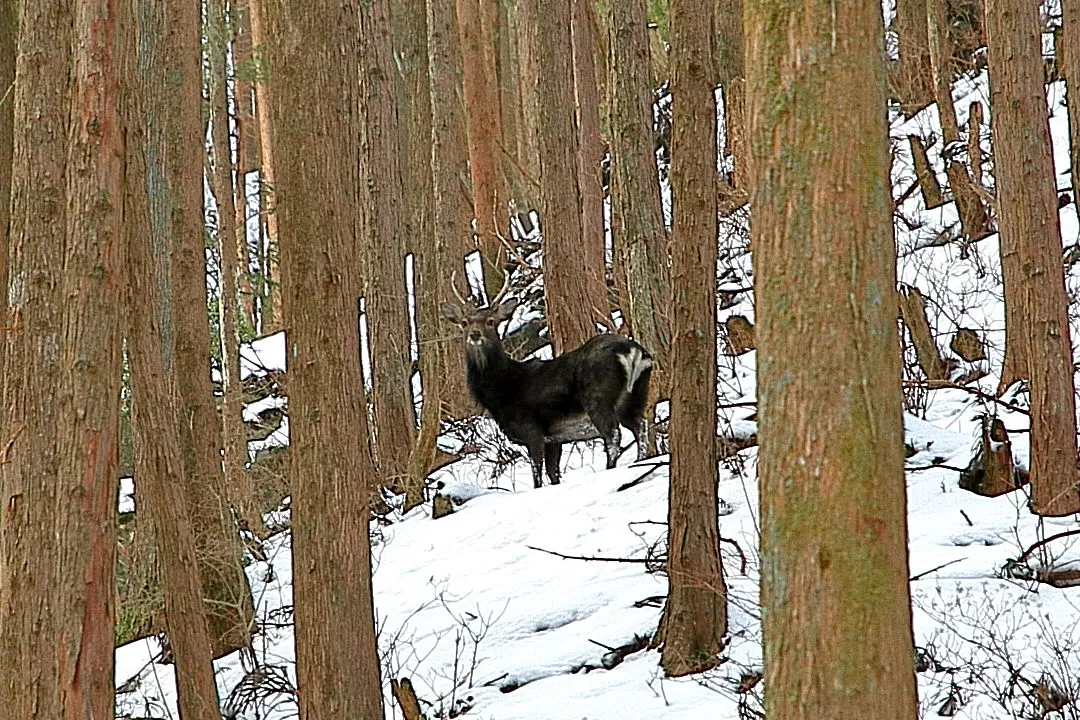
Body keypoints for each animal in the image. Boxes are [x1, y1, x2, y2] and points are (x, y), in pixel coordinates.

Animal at [442, 274, 652, 490]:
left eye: (491, 321)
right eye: (464, 322)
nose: (475, 334)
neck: (502, 389)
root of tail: (633, 351)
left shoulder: (531, 428)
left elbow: (537, 474)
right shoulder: (554, 438)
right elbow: (553, 474)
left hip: (598, 398)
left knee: (613, 436)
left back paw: (612, 470)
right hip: (635, 395)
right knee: (642, 426)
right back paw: (640, 462)